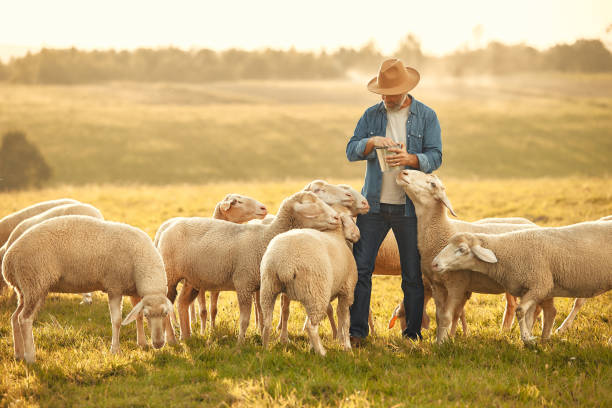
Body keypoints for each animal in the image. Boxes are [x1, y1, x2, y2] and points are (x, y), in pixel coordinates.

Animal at [3, 215, 177, 362]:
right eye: (148, 315)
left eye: (165, 314)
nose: (159, 344)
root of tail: (8, 261)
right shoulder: (114, 286)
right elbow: (117, 321)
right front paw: (115, 350)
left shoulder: (133, 289)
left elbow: (136, 316)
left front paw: (142, 343)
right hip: (34, 282)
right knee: (24, 319)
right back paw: (30, 357)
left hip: (26, 289)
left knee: (15, 317)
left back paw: (18, 354)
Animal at [157, 191, 340, 344]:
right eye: (310, 204)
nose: (337, 217)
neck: (266, 237)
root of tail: (168, 227)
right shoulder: (243, 283)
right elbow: (245, 319)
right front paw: (241, 344)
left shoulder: (263, 285)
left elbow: (265, 315)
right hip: (170, 275)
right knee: (166, 305)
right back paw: (172, 340)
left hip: (193, 278)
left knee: (182, 303)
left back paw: (186, 337)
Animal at [258, 206, 358, 356]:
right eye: (351, 218)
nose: (357, 235)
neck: (336, 234)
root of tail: (285, 263)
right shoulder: (347, 290)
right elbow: (345, 320)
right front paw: (347, 346)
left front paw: (312, 346)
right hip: (317, 291)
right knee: (311, 326)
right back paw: (322, 352)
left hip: (269, 287)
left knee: (268, 322)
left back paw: (265, 348)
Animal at [394, 171, 544, 342]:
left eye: (432, 184)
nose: (403, 172)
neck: (443, 229)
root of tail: (534, 224)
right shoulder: (437, 285)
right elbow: (439, 317)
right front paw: (440, 340)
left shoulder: (457, 284)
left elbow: (446, 317)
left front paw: (442, 343)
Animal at [430, 220, 612, 344]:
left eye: (462, 250)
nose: (435, 264)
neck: (509, 251)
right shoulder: (529, 289)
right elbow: (529, 316)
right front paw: (530, 338)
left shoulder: (540, 284)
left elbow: (520, 311)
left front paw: (527, 339)